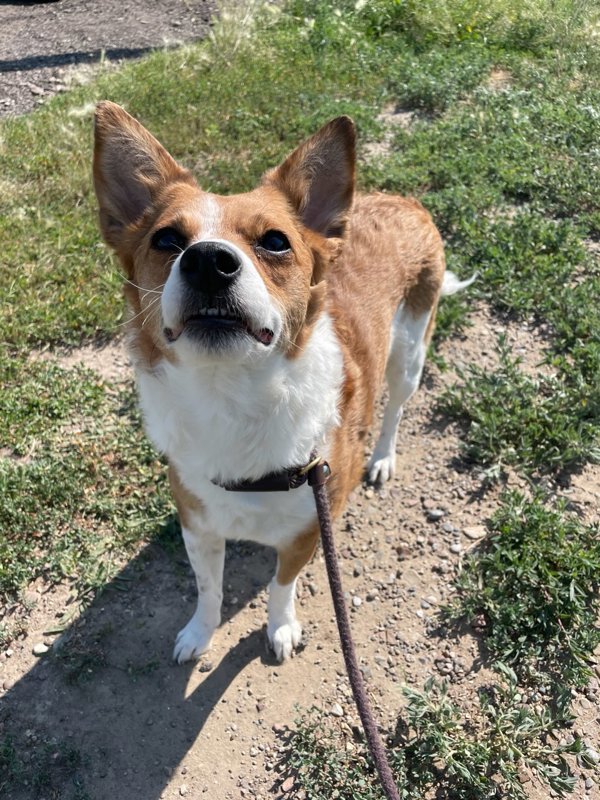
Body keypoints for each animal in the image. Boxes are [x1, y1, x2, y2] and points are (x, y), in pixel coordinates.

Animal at [94, 100, 472, 664]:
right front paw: (199, 633)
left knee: (397, 409)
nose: (208, 261)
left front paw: (280, 628)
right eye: (166, 240)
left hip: (409, 354)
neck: (230, 397)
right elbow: (208, 588)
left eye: (275, 242)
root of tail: (400, 199)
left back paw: (381, 458)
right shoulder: (198, 527)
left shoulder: (308, 530)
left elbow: (281, 586)